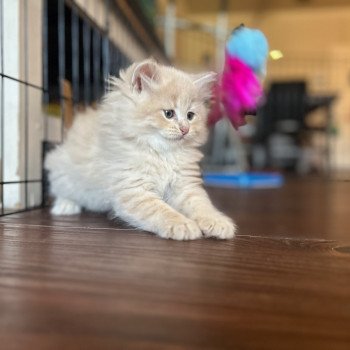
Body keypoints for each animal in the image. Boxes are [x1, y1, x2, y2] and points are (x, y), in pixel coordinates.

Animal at [43, 60, 235, 241]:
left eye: (190, 116)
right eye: (169, 114)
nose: (185, 129)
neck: (162, 153)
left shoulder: (185, 186)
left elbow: (202, 205)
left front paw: (219, 222)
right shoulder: (134, 190)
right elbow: (162, 211)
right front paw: (183, 225)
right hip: (61, 169)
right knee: (61, 190)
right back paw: (65, 206)